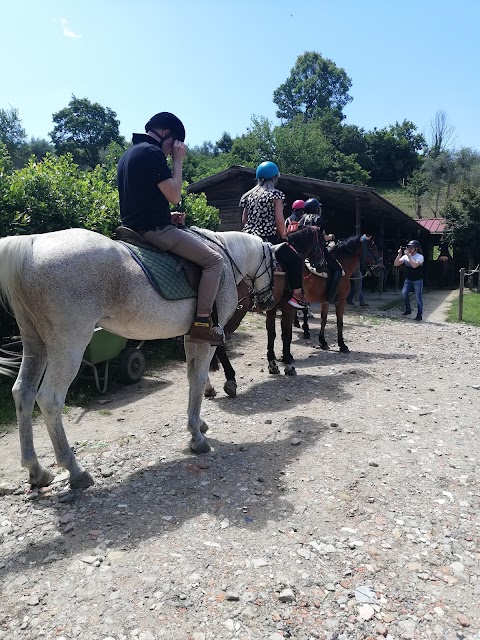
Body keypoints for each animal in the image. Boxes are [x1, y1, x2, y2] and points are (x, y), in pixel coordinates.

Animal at [0, 229, 274, 490]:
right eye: (274, 265)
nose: (268, 302)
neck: (224, 256)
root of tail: (32, 244)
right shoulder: (207, 338)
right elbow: (198, 378)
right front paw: (196, 435)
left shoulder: (191, 337)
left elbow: (192, 377)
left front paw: (199, 423)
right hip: (68, 346)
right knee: (49, 399)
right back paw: (75, 470)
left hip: (36, 343)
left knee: (23, 393)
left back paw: (36, 470)